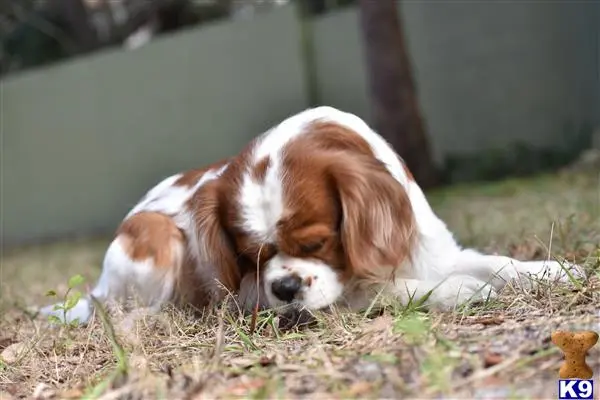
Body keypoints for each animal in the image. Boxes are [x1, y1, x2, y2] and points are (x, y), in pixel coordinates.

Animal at [39, 107, 580, 324]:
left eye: (317, 243)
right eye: (251, 257)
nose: (284, 287)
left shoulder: (432, 249)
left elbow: (497, 262)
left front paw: (553, 271)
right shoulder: (254, 299)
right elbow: (381, 291)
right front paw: (459, 290)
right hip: (154, 235)